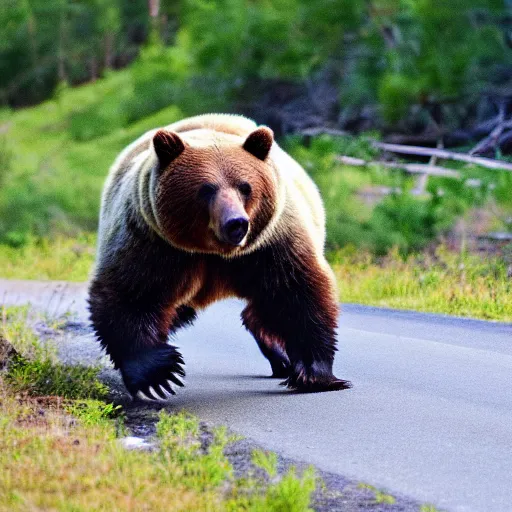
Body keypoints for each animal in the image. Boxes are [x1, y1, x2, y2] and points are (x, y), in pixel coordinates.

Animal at [89, 113, 352, 400]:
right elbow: (132, 294)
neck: (213, 253)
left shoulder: (271, 244)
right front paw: (161, 375)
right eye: (206, 189)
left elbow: (298, 293)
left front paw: (315, 375)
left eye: (245, 187)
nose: (236, 223)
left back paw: (280, 358)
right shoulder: (153, 242)